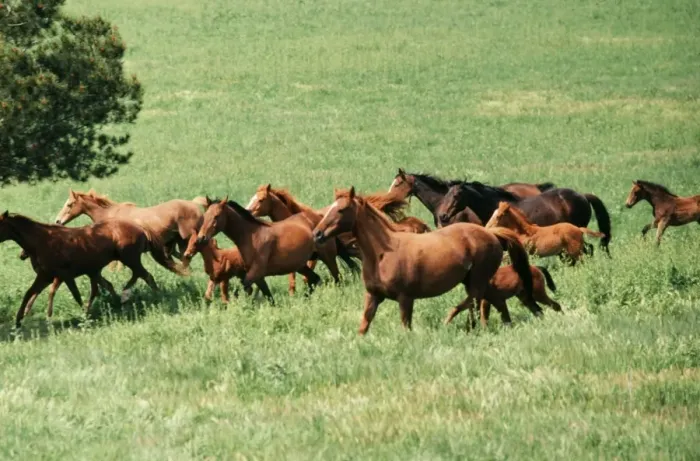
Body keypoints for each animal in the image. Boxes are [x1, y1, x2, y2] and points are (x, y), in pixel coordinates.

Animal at [0, 211, 186, 327]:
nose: (21, 256)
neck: (43, 241)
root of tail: (139, 227)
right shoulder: (45, 276)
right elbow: (30, 293)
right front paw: (18, 321)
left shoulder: (63, 275)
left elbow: (74, 295)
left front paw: (82, 316)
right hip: (120, 262)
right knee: (132, 278)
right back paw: (122, 299)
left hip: (130, 259)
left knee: (146, 276)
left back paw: (154, 298)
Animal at [54, 189, 206, 261]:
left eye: (69, 204)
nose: (58, 221)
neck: (109, 213)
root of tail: (194, 205)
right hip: (177, 241)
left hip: (185, 236)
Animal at [311, 187, 542, 335]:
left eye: (341, 209)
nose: (317, 234)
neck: (382, 253)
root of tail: (492, 234)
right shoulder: (373, 296)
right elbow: (364, 326)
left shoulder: (405, 299)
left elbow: (406, 327)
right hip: (473, 281)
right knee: (487, 302)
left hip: (477, 279)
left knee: (473, 301)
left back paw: (452, 321)